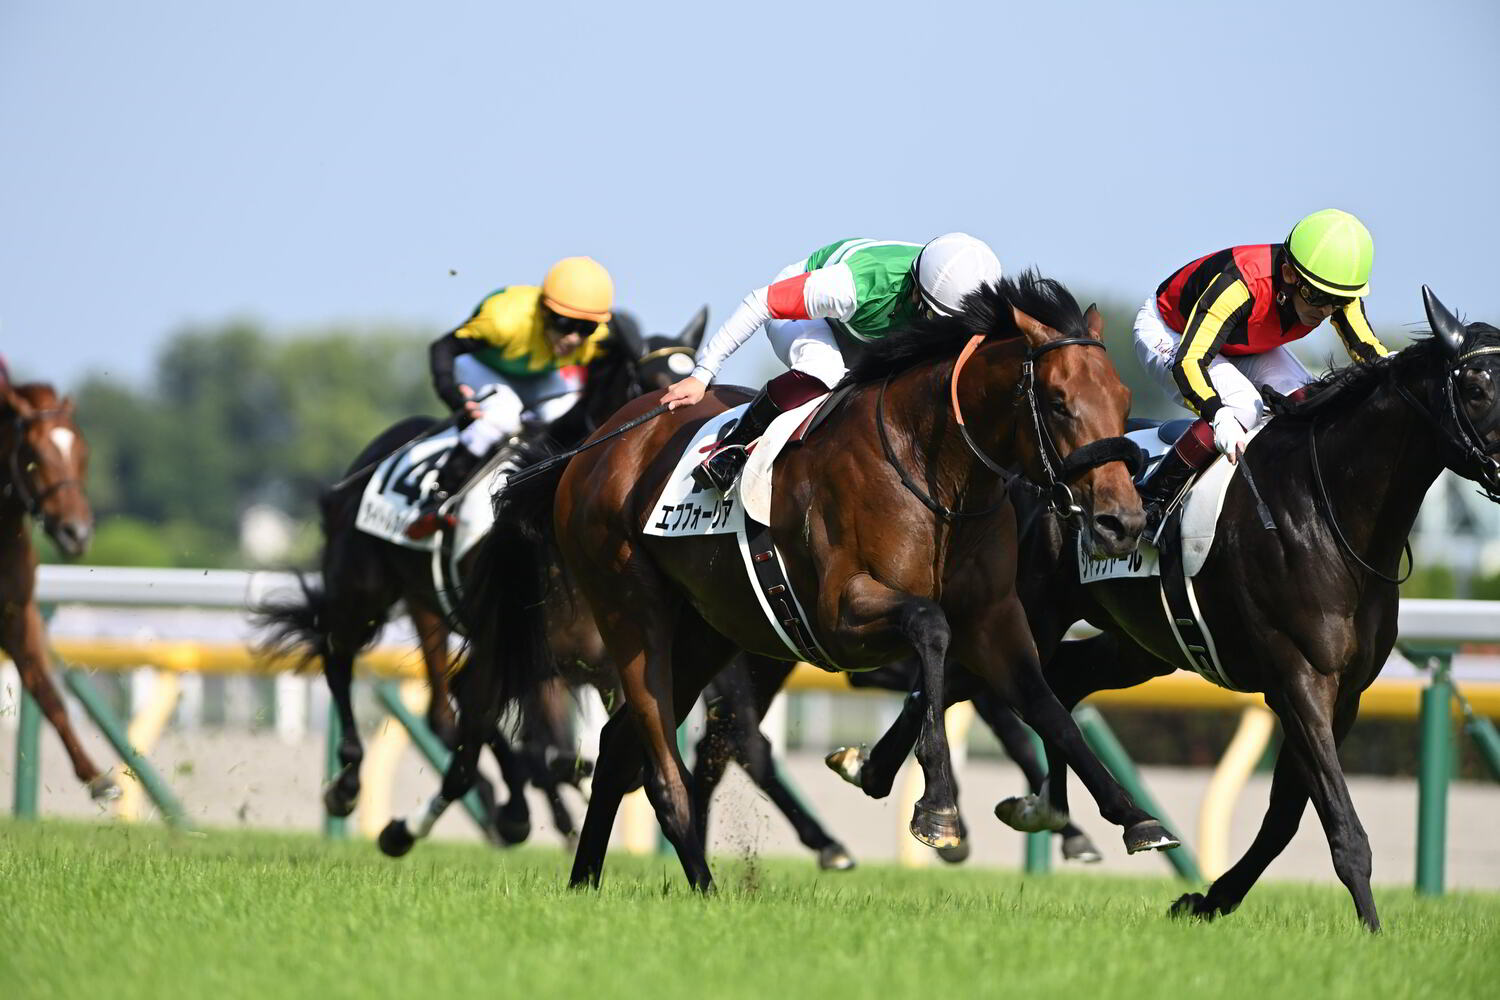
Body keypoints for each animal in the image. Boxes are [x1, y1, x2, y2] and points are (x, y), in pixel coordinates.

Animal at [1, 380, 116, 802]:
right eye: (33, 455)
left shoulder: (16, 614)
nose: (76, 533)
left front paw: (98, 778)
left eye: (83, 451)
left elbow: (48, 692)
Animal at [254, 311, 703, 843]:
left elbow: (579, 753)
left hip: (429, 609)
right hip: (364, 591)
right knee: (342, 657)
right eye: (649, 384)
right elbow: (549, 753)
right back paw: (348, 783)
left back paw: (504, 805)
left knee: (448, 710)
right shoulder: (538, 658)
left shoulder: (604, 665)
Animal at [459, 271, 1179, 892]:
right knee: (662, 766)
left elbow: (1044, 703)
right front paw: (937, 810)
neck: (933, 467)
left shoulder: (997, 619)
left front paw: (1132, 817)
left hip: (708, 632)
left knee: (619, 748)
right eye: (1058, 402)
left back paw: (587, 879)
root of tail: (593, 450)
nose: (1121, 521)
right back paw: (703, 884)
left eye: (1123, 399)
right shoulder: (843, 614)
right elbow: (932, 630)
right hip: (634, 616)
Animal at [843, 286, 1500, 931]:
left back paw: (1041, 807)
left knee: (1058, 680)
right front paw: (1371, 926)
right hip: (1027, 614)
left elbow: (1286, 817)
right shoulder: (1299, 680)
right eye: (1476, 388)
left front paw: (1206, 900)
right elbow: (1337, 820)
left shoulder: (1346, 692)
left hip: (1140, 645)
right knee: (974, 679)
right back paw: (879, 772)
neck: (1327, 509)